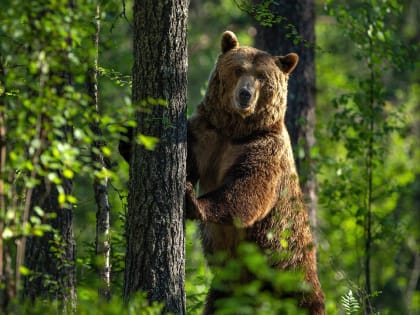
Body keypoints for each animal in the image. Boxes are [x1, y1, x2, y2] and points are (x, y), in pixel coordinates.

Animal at [186, 30, 324, 315]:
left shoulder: (265, 148)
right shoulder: (208, 132)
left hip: (290, 272)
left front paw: (194, 201)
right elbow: (189, 159)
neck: (236, 130)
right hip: (227, 289)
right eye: (239, 69)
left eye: (261, 76)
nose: (245, 94)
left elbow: (248, 190)